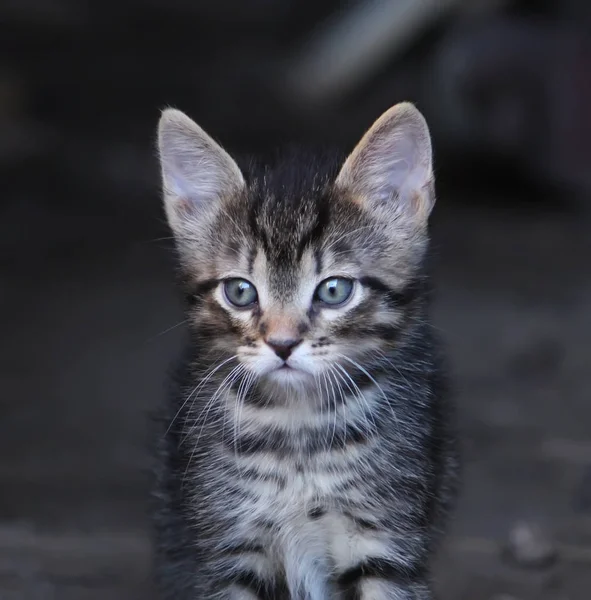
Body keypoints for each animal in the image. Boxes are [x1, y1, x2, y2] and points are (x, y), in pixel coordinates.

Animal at [151, 103, 458, 600]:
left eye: (334, 290)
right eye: (240, 291)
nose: (282, 343)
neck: (300, 433)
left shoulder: (383, 538)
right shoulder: (230, 544)